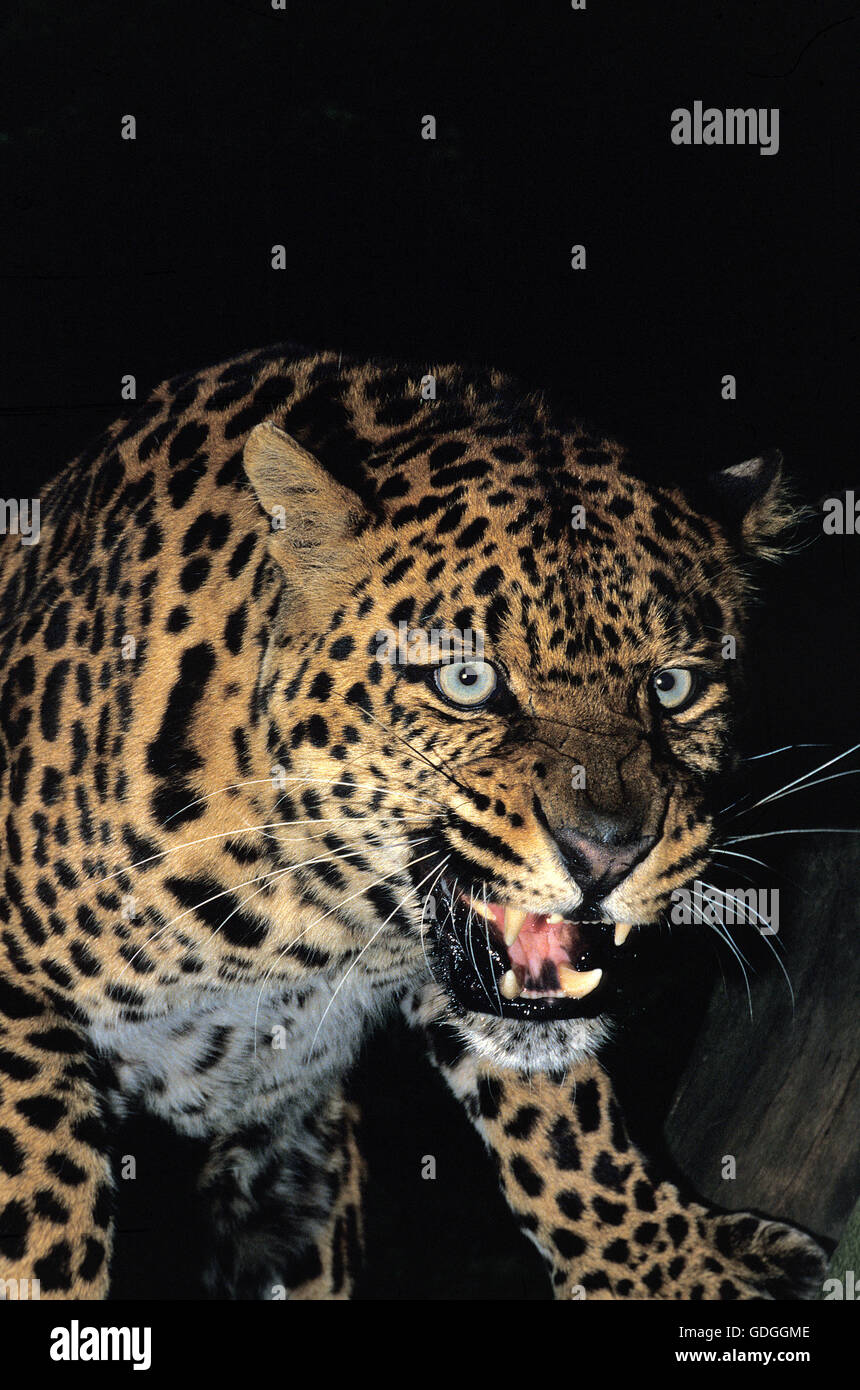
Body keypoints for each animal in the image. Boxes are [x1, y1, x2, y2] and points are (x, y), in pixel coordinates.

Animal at [0, 341, 828, 1295]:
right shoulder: (17, 1003)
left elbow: (562, 1114)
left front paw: (660, 1261)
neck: (311, 928)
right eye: (467, 680)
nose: (607, 856)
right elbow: (43, 1211)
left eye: (673, 686)